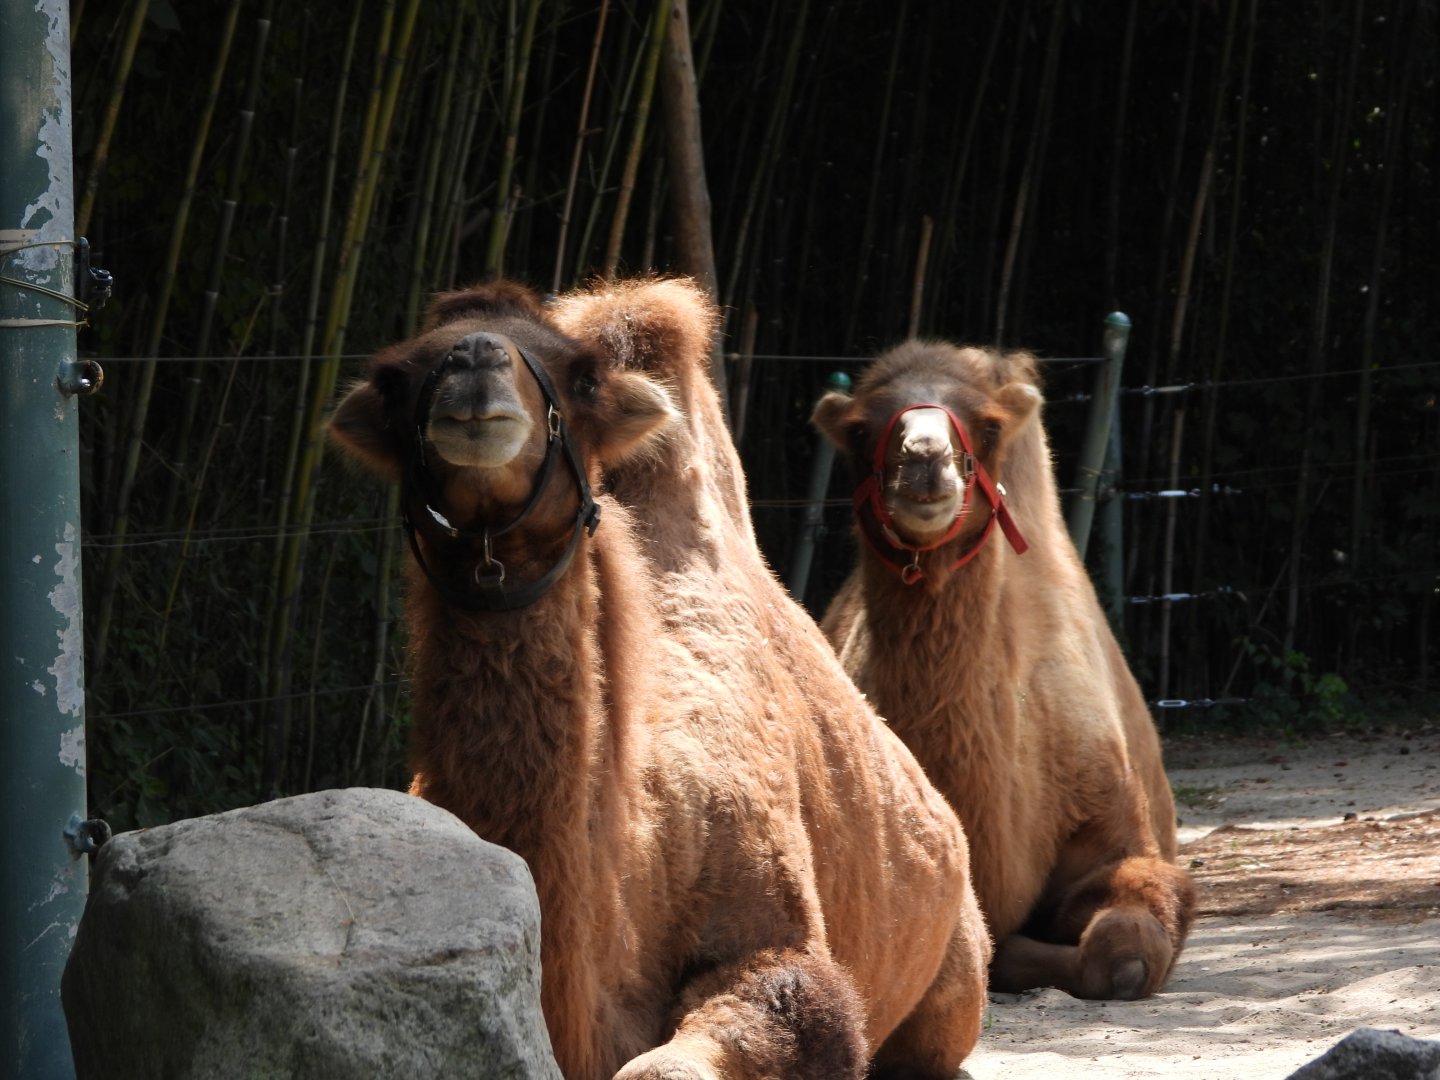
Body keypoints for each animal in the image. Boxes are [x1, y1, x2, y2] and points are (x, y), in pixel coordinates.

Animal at [328, 281, 990, 1080]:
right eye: (395, 379)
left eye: (582, 377)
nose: (475, 357)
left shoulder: (777, 942)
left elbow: (706, 1045)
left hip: (958, 978)